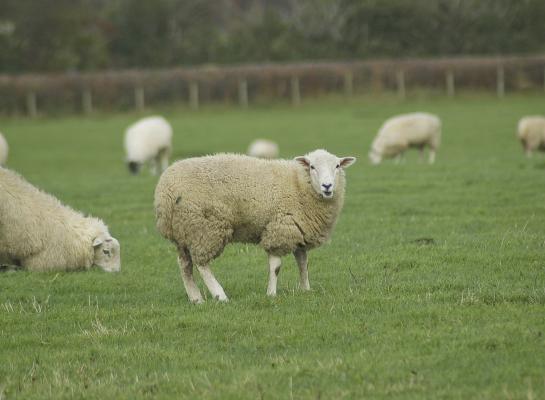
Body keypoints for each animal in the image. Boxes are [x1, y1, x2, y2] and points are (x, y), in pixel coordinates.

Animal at [154, 148, 356, 304]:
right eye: (312, 167)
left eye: (337, 166)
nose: (327, 186)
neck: (299, 184)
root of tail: (164, 191)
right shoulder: (279, 229)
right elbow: (276, 267)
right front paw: (271, 294)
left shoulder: (298, 231)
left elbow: (303, 263)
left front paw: (306, 289)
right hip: (204, 228)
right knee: (201, 264)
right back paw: (220, 296)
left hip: (184, 231)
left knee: (185, 264)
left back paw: (196, 299)